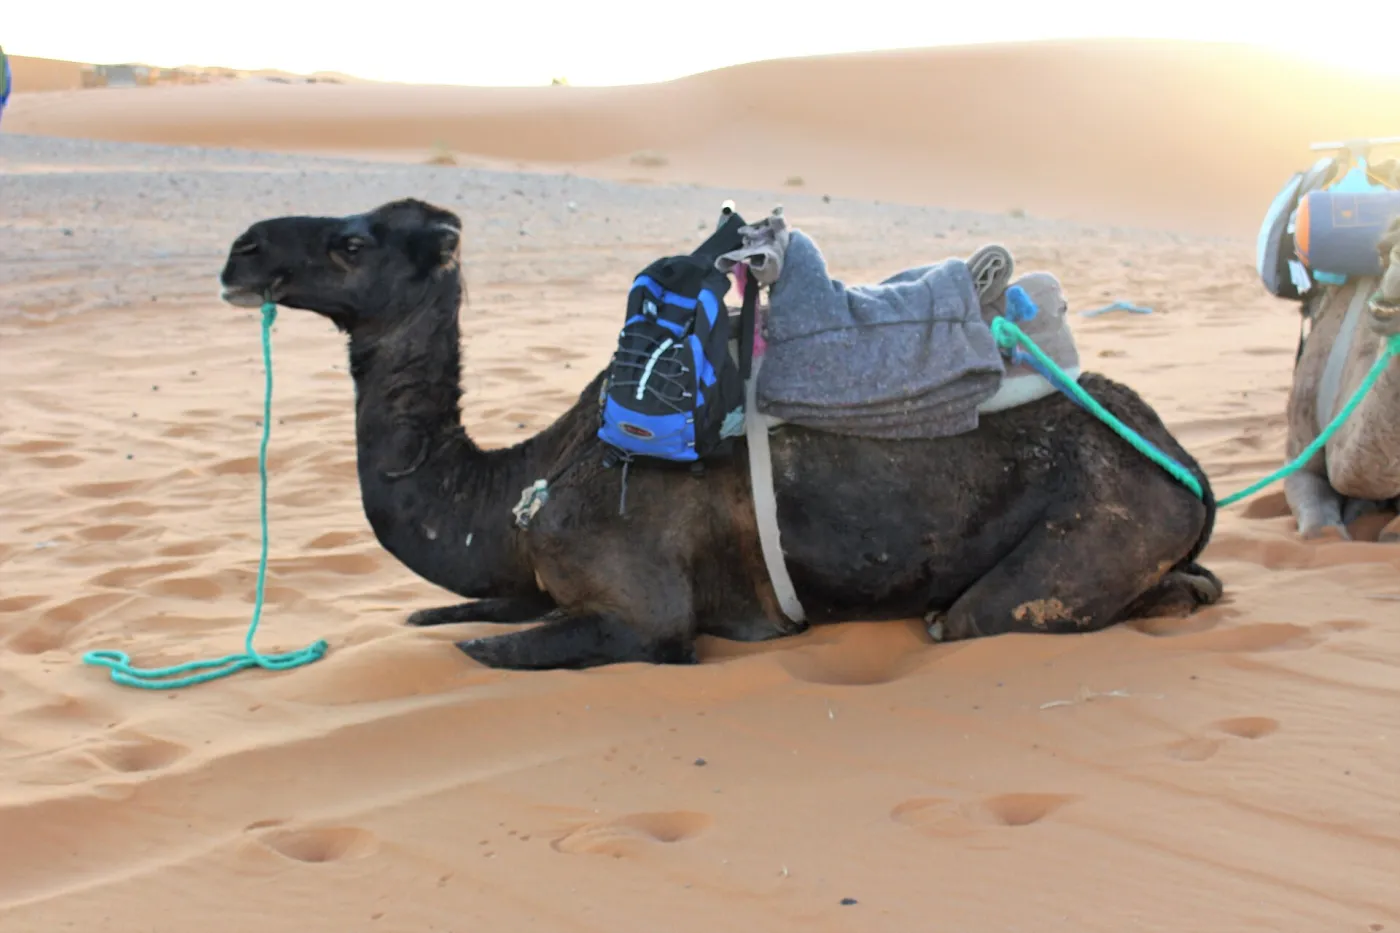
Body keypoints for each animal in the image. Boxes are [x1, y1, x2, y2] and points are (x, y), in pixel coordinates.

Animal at [219, 197, 1223, 671]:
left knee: (972, 617)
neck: (520, 488)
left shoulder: (641, 609)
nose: (243, 250)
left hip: (1076, 543)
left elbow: (489, 646)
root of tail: (1186, 465)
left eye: (353, 245)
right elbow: (447, 612)